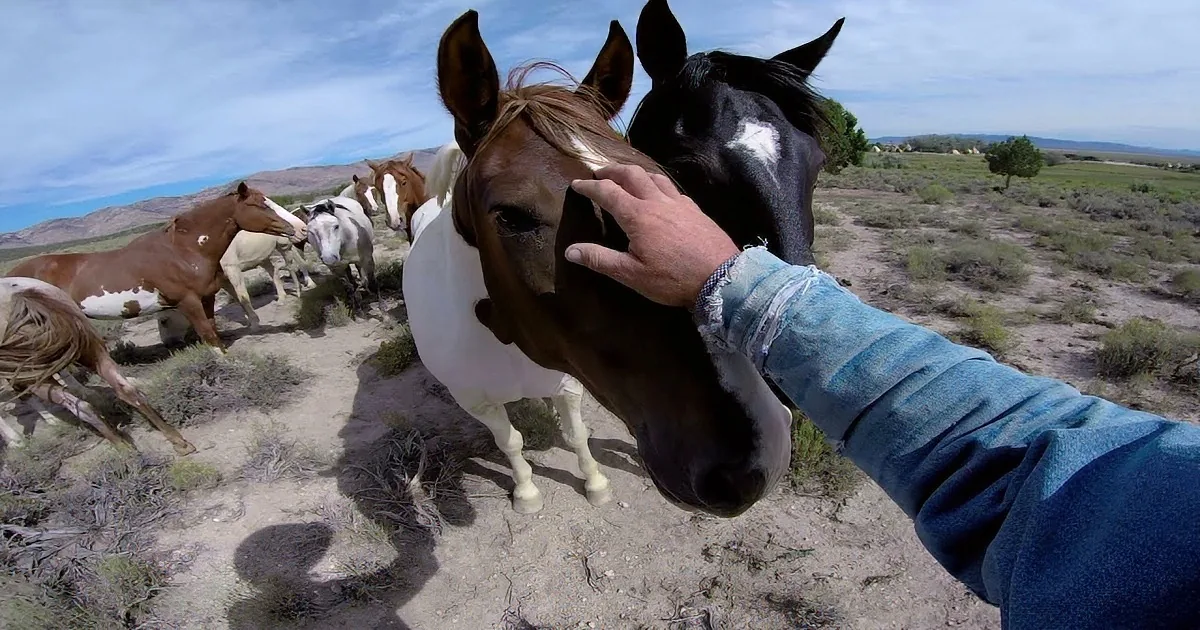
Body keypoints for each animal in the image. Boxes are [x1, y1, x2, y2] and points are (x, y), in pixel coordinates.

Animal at [0, 277, 195, 455]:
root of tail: (20, 298)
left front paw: (16, 441)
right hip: (94, 352)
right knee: (123, 391)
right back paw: (178, 442)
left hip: (36, 377)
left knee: (80, 406)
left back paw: (123, 448)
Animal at [7, 183, 306, 354]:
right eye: (260, 204)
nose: (302, 228)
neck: (182, 252)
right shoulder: (188, 302)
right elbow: (209, 335)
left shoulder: (207, 298)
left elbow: (213, 331)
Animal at [431, 11, 791, 517]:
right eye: (511, 216)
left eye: (666, 179)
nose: (756, 459)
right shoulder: (476, 401)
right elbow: (511, 443)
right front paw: (527, 492)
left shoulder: (567, 382)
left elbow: (575, 433)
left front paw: (593, 481)